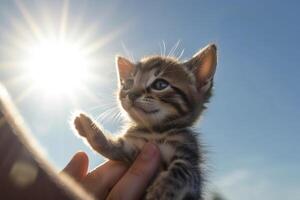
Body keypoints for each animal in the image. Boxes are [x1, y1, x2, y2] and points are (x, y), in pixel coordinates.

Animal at [74, 43, 217, 199]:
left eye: (160, 84)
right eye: (129, 84)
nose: (131, 94)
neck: (155, 131)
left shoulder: (191, 161)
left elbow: (181, 170)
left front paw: (161, 188)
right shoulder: (131, 149)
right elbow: (113, 148)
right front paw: (90, 128)